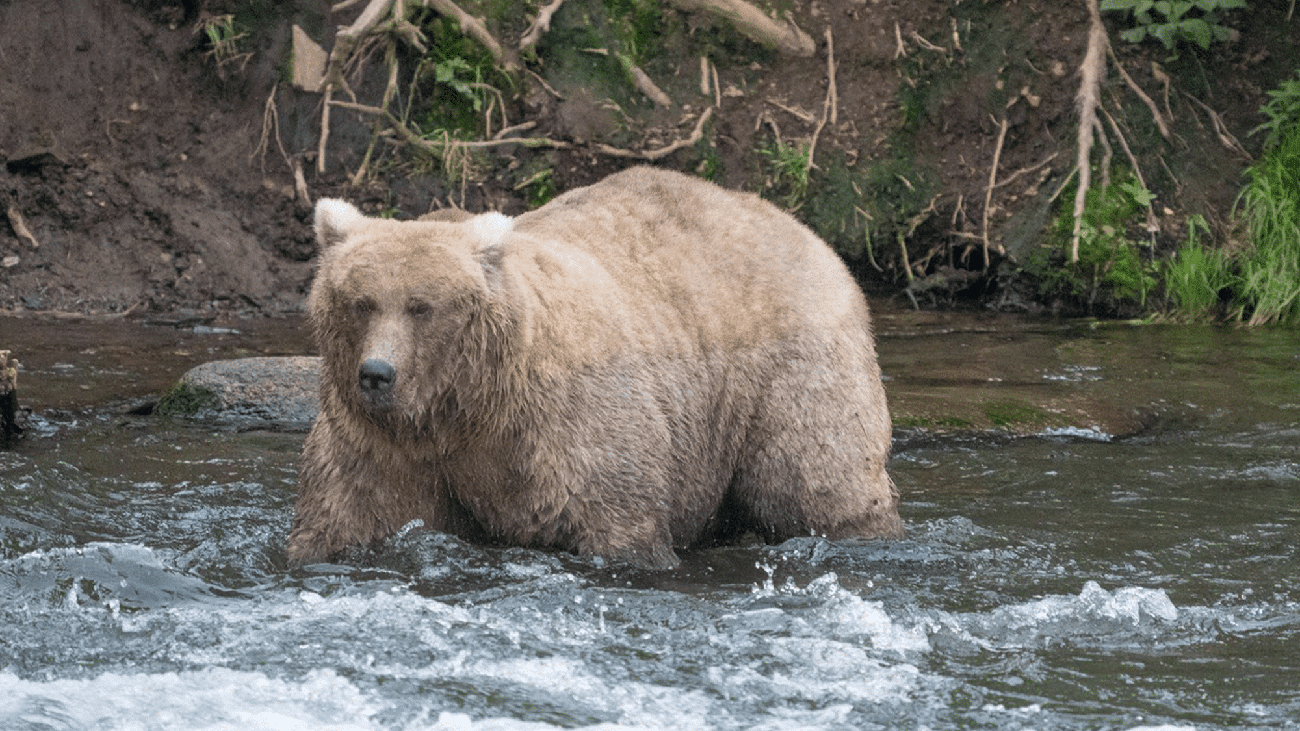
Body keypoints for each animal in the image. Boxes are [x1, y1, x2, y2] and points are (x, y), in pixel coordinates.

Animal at [286, 166, 902, 569]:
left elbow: (615, 518)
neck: (467, 406)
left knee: (814, 479)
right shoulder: (384, 443)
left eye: (421, 306)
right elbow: (349, 513)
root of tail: (804, 230)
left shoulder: (567, 423)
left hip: (787, 371)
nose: (377, 373)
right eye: (360, 301)